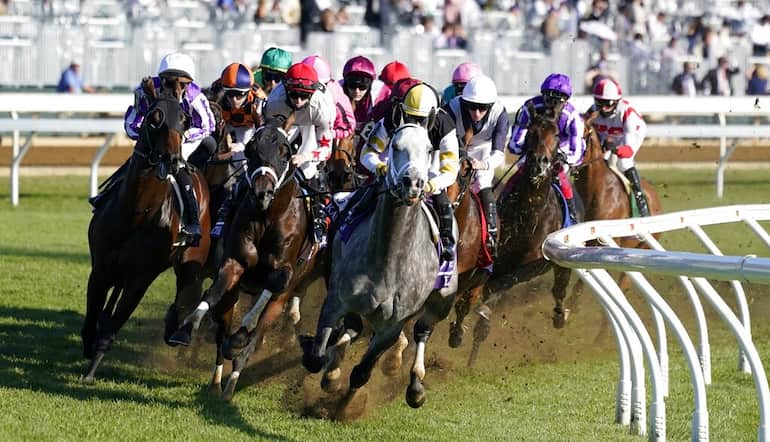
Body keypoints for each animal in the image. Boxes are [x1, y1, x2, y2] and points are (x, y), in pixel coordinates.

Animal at [81, 79, 211, 383]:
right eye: (154, 118)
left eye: (185, 120)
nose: (172, 159)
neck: (136, 213)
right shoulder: (100, 268)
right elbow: (92, 319)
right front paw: (88, 346)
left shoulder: (141, 278)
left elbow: (111, 330)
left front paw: (91, 370)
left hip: (190, 260)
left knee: (187, 289)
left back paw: (177, 329)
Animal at [171, 114, 324, 401]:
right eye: (252, 149)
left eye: (285, 151)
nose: (262, 193)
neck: (268, 217)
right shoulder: (234, 262)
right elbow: (212, 293)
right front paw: (185, 328)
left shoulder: (284, 272)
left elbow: (271, 288)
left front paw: (242, 334)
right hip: (234, 294)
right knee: (222, 332)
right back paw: (217, 381)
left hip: (282, 299)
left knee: (255, 336)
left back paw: (233, 378)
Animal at [300, 123, 458, 414]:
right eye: (395, 145)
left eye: (429, 148)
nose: (413, 183)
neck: (389, 259)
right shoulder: (337, 300)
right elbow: (316, 357)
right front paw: (328, 371)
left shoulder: (391, 326)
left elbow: (361, 373)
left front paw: (345, 408)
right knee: (352, 328)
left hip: (442, 300)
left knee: (423, 329)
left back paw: (415, 385)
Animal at [467, 106, 581, 366]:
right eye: (531, 131)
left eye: (557, 134)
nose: (540, 163)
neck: (529, 215)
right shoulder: (497, 256)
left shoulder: (533, 265)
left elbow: (503, 284)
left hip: (562, 263)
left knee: (559, 289)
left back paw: (560, 315)